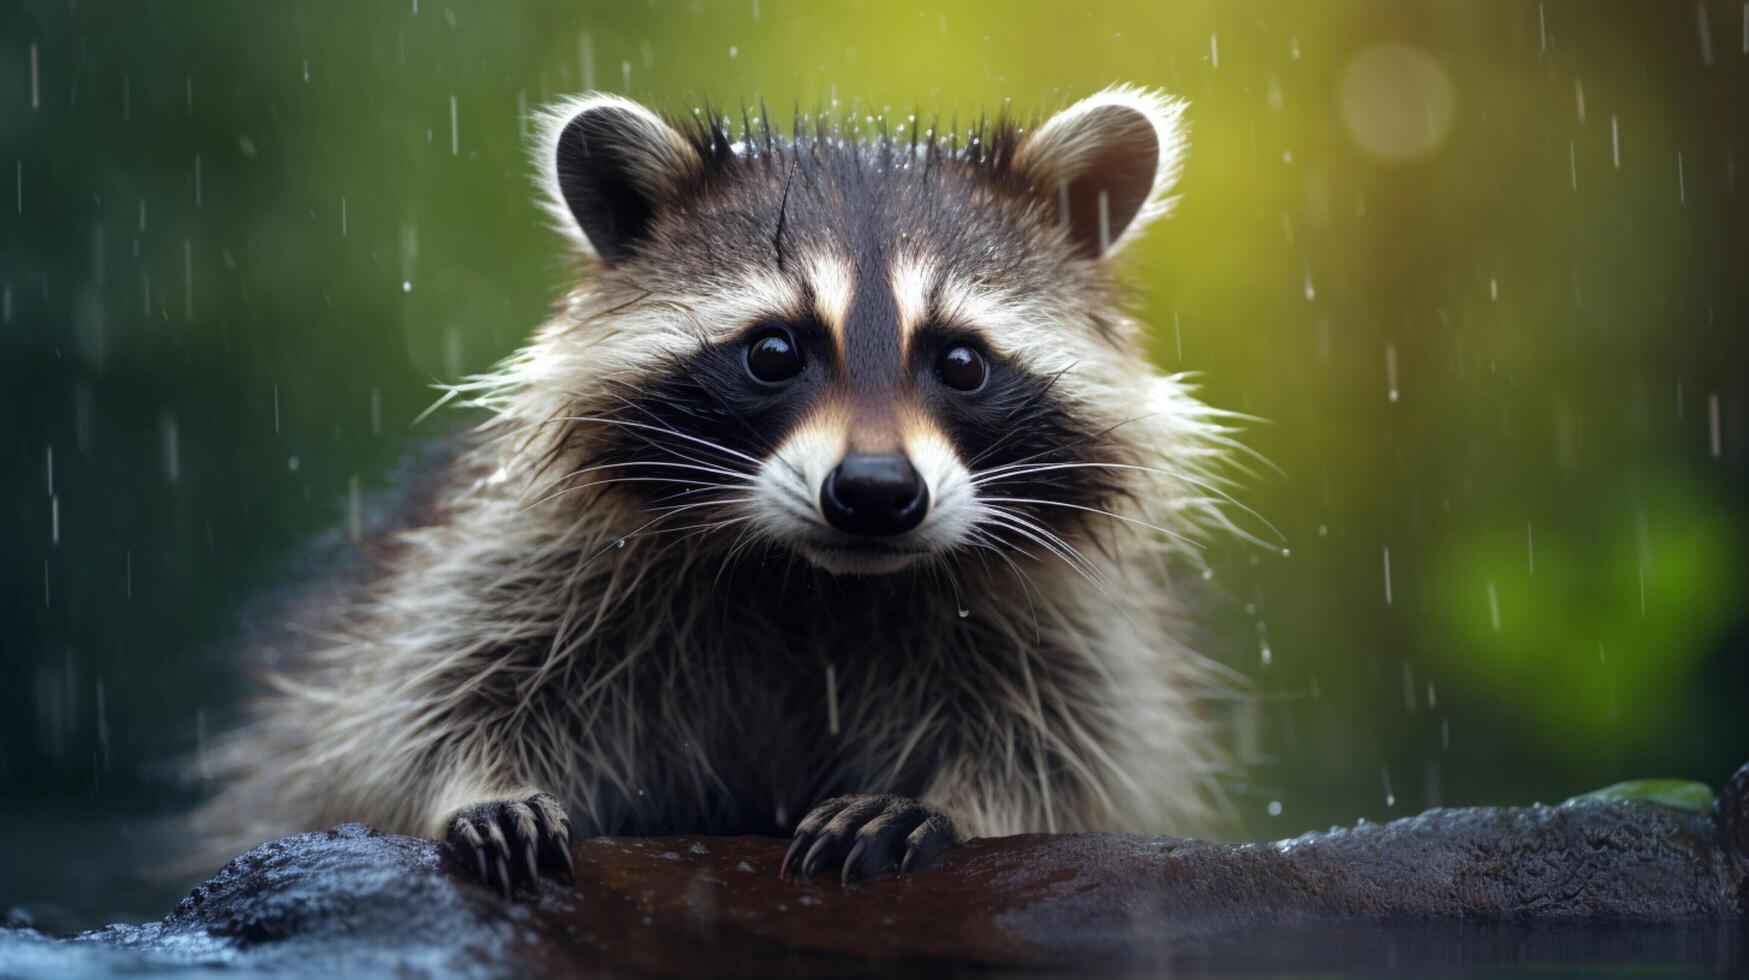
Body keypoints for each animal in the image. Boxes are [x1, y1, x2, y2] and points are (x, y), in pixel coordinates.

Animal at [201, 86, 1245, 896]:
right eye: (774, 352)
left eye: (960, 362)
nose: (874, 492)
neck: (817, 580)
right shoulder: (520, 549)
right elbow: (411, 706)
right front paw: (473, 783)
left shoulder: (1064, 612)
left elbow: (1076, 753)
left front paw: (948, 802)